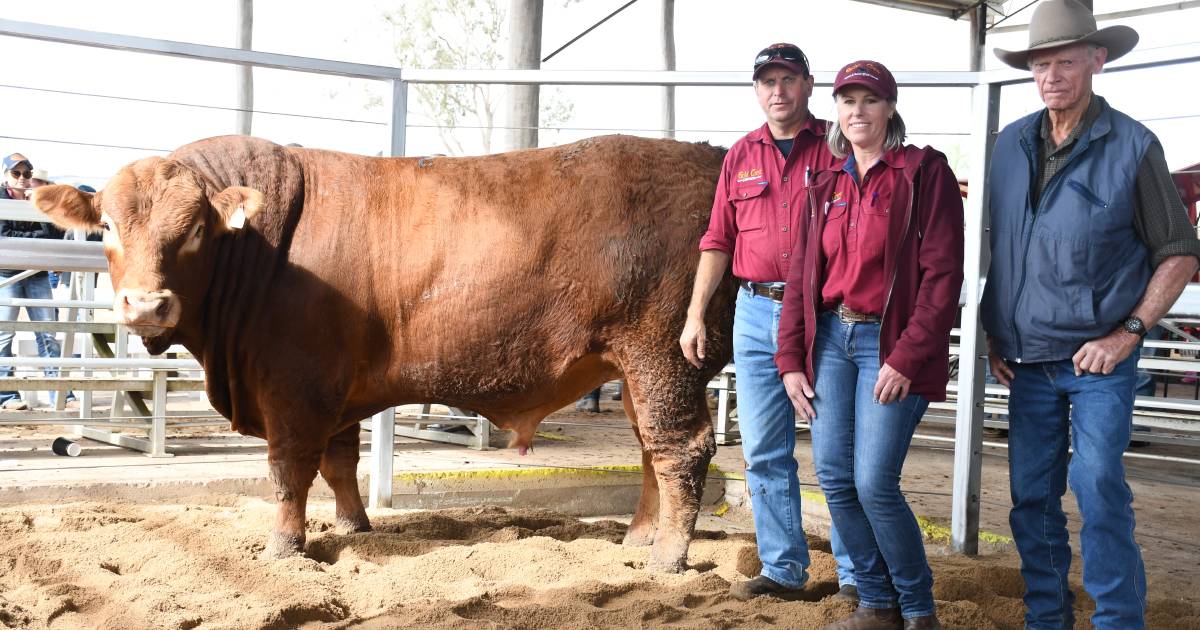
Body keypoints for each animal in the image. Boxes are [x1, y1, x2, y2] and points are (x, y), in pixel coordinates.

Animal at [32, 133, 734, 568]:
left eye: (198, 229)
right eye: (109, 225)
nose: (147, 306)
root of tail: (707, 161)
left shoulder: (294, 387)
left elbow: (289, 470)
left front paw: (284, 547)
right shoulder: (333, 390)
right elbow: (340, 463)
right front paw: (353, 528)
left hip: (665, 355)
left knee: (681, 449)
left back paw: (667, 558)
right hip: (631, 366)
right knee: (650, 449)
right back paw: (636, 540)